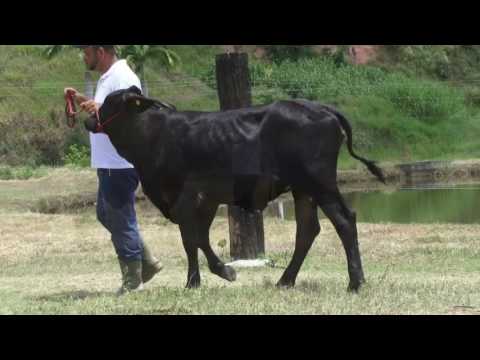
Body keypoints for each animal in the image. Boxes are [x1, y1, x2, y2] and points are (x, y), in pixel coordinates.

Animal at [85, 86, 386, 292]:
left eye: (110, 102)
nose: (88, 119)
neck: (152, 136)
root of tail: (320, 108)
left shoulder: (186, 198)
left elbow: (191, 239)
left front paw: (200, 279)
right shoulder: (205, 200)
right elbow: (199, 239)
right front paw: (214, 274)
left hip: (320, 182)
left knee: (344, 221)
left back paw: (355, 282)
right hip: (304, 189)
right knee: (307, 229)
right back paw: (285, 280)